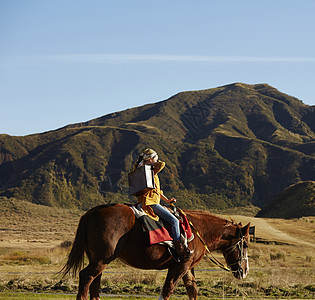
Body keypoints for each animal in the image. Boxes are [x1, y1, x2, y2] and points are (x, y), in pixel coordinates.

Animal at [63, 204, 251, 300]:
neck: (199, 231)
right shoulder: (181, 266)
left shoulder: (187, 268)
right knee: (86, 277)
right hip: (101, 260)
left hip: (98, 260)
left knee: (94, 284)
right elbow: (167, 291)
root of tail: (91, 212)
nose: (244, 271)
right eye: (246, 245)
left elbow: (192, 290)